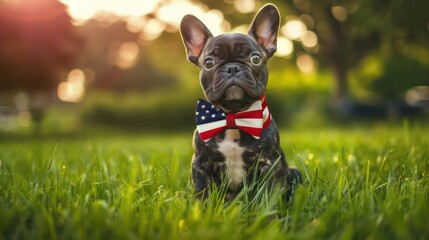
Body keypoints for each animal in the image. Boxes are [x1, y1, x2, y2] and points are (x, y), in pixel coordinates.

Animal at [180, 3, 300, 201]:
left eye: (255, 58)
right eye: (209, 63)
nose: (232, 68)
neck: (233, 117)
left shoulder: (269, 164)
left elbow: (267, 195)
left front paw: (267, 210)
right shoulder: (200, 164)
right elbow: (203, 192)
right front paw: (202, 208)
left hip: (295, 172)